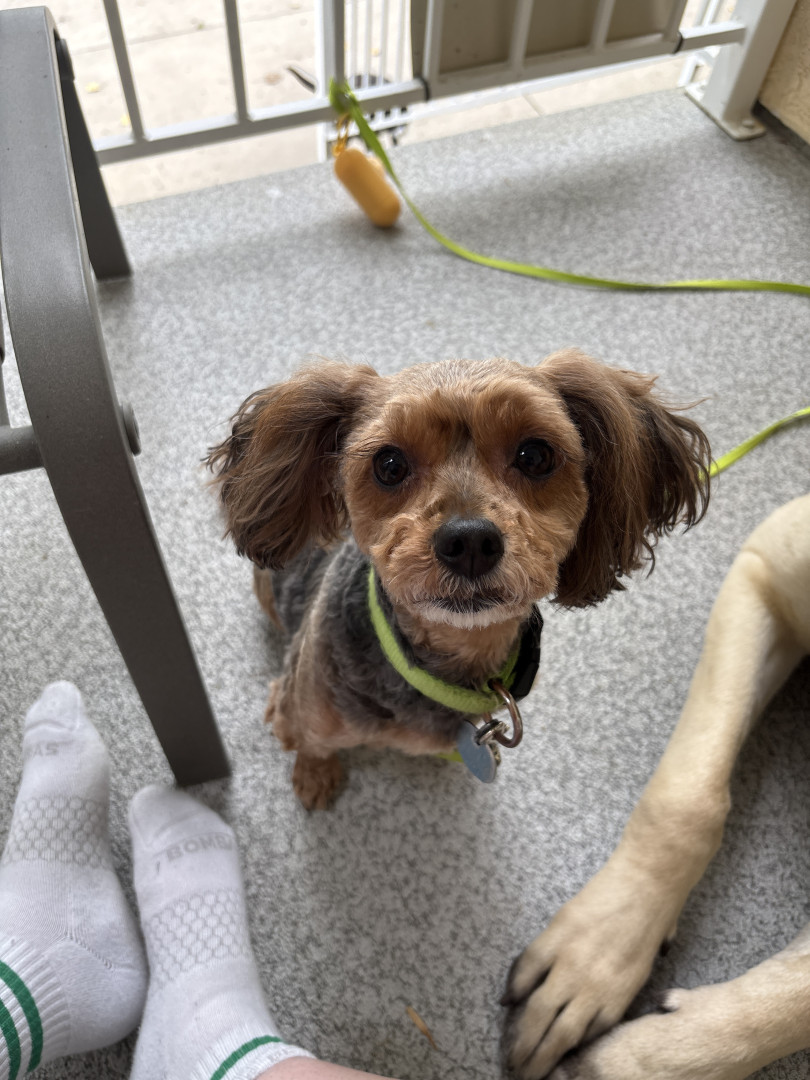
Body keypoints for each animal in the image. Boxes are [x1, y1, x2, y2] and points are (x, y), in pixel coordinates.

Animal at [207, 350, 709, 809]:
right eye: (389, 464)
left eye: (535, 455)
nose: (469, 542)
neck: (440, 664)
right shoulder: (297, 707)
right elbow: (311, 743)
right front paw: (315, 775)